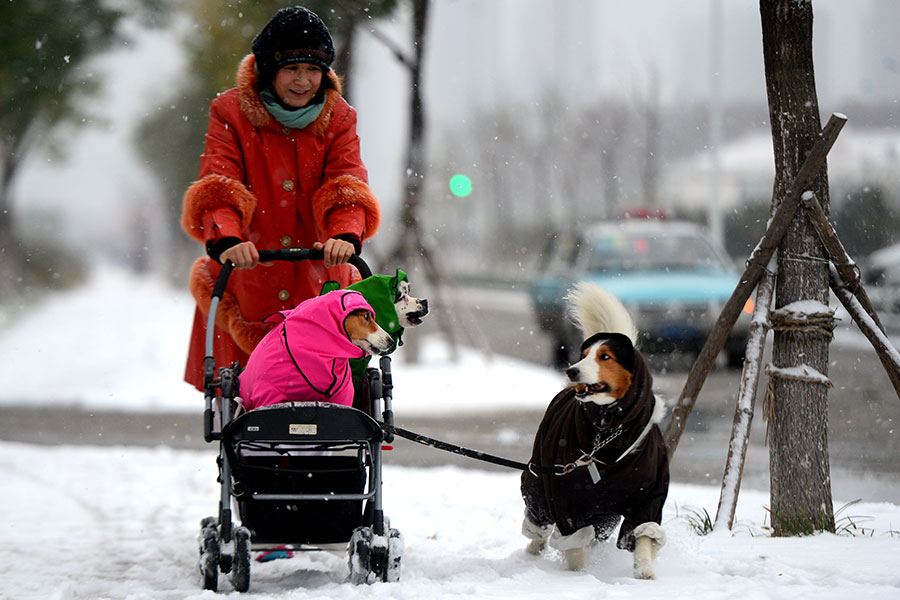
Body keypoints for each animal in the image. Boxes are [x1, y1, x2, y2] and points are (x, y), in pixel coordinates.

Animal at [520, 284, 668, 580]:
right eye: (584, 355)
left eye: (605, 356)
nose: (571, 370)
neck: (608, 433)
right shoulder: (565, 498)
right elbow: (574, 547)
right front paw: (578, 576)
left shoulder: (649, 496)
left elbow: (645, 535)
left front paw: (645, 572)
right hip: (539, 482)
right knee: (539, 523)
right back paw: (532, 553)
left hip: (605, 515)